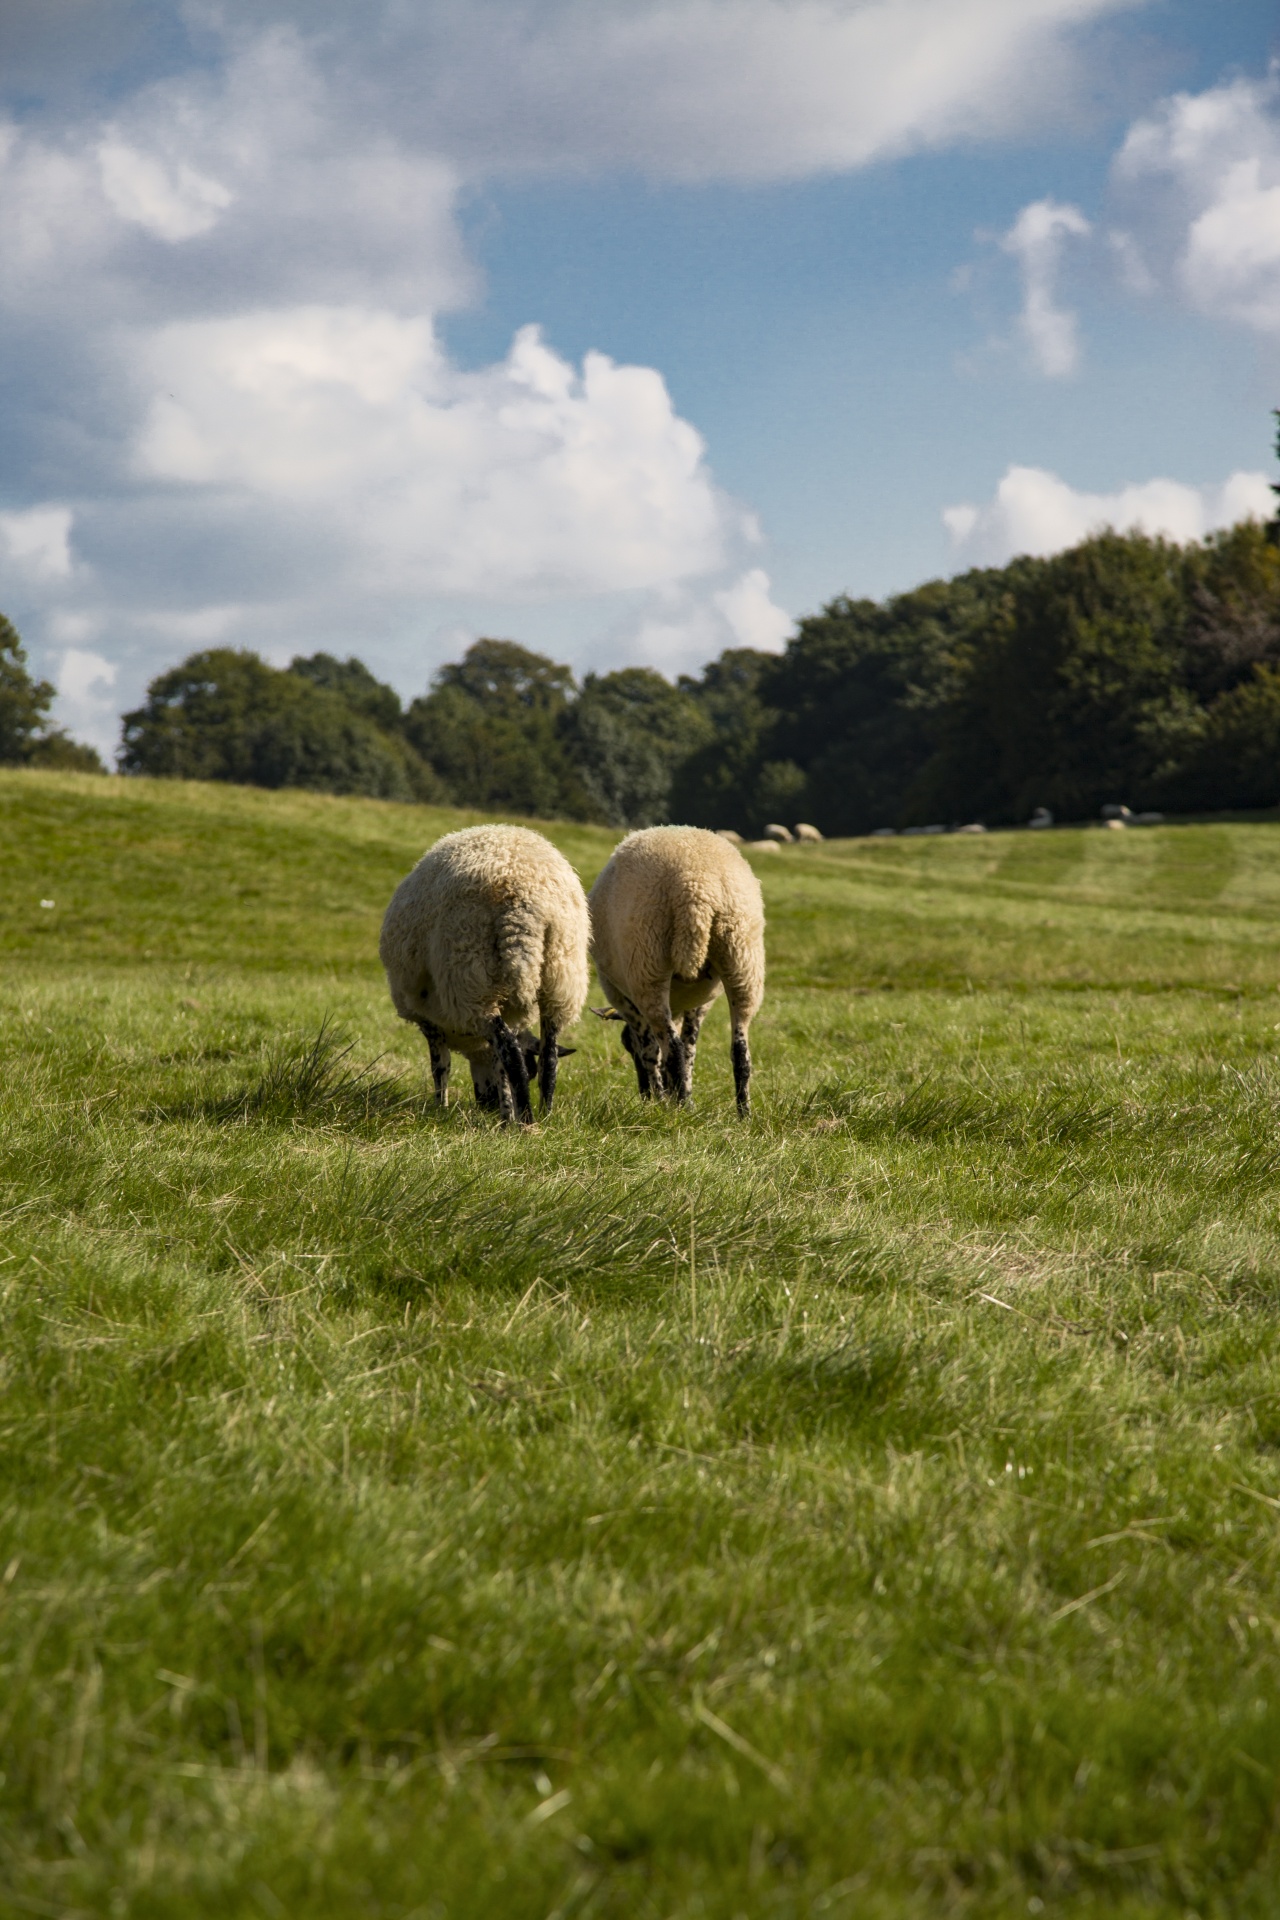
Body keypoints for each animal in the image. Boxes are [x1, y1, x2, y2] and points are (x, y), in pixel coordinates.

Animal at [379, 825, 591, 1121]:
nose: (486, 1105)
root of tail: (524, 902)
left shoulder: (428, 1019)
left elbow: (441, 1067)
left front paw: (441, 1109)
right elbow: (501, 1068)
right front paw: (506, 1113)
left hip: (471, 975)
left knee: (510, 1052)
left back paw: (526, 1121)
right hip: (562, 976)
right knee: (549, 1057)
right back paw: (544, 1115)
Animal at [587, 821, 767, 1113]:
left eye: (626, 1045)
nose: (643, 1094)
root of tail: (697, 889)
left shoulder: (626, 1001)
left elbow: (651, 1052)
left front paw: (660, 1099)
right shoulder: (699, 1003)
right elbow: (691, 1048)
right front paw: (683, 1097)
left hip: (648, 964)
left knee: (673, 1050)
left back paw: (679, 1110)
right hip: (742, 958)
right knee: (740, 1051)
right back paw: (743, 1113)